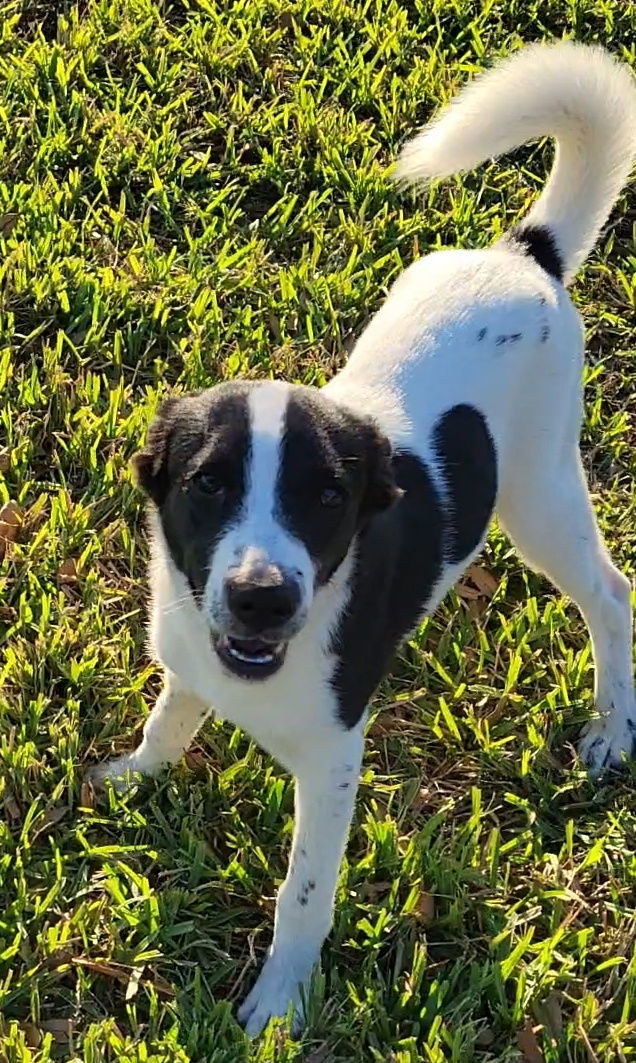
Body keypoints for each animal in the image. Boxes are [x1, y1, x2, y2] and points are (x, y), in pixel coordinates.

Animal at [89, 41, 636, 1037]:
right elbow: (168, 718)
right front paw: (135, 775)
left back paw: (613, 726)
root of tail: (526, 256)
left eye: (328, 496)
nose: (262, 598)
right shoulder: (188, 655)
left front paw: (277, 1006)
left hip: (539, 492)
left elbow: (302, 895)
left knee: (610, 595)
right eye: (208, 483)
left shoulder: (335, 764)